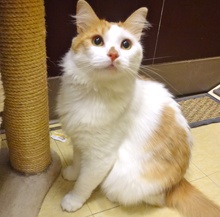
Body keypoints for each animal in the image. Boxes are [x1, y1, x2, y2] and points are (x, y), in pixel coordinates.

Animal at [56, 0, 220, 217]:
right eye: (97, 41)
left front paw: (73, 200)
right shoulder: (80, 139)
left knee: (154, 199)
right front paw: (71, 173)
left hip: (124, 179)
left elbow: (84, 182)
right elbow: (77, 161)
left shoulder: (101, 156)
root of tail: (178, 182)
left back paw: (113, 197)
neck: (93, 93)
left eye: (126, 45)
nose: (113, 54)